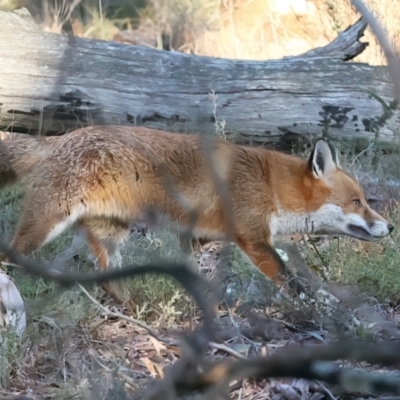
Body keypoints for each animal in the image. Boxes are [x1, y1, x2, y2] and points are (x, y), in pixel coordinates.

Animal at [0, 126, 394, 298]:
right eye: (357, 202)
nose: (389, 227)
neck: (270, 186)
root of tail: (63, 136)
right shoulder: (253, 239)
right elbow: (292, 281)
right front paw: (319, 306)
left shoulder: (201, 236)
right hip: (46, 225)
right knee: (12, 254)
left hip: (111, 234)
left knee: (107, 277)